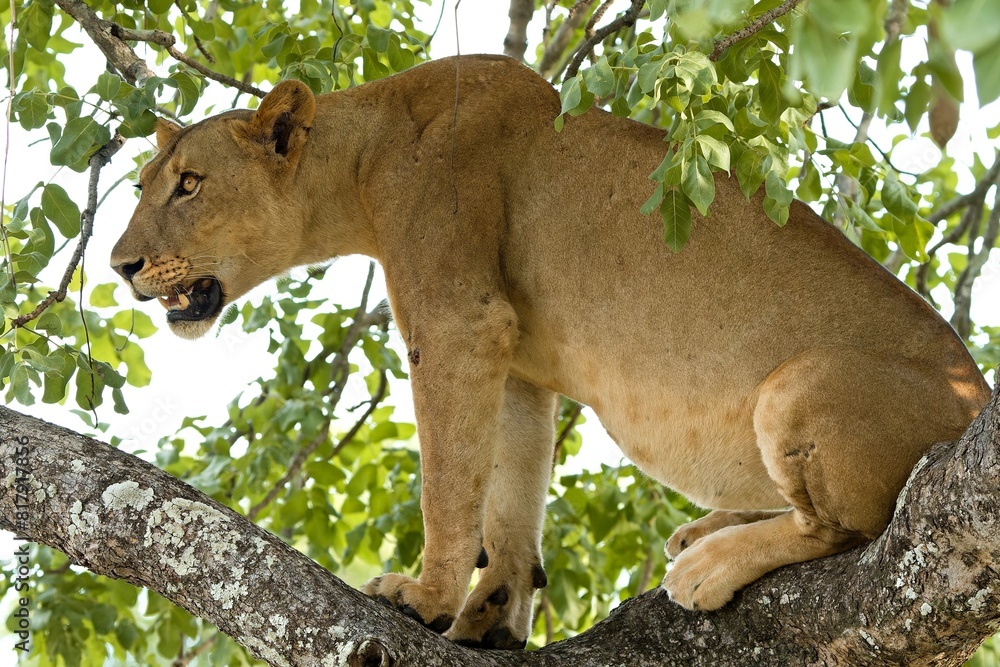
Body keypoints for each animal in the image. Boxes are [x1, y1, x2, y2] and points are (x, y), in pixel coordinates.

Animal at [110, 54, 990, 649]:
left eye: (189, 184)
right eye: (145, 184)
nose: (120, 266)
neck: (362, 160)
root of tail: (981, 394)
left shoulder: (457, 321)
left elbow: (448, 482)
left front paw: (424, 597)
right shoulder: (515, 360)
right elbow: (508, 492)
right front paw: (491, 614)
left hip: (801, 383)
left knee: (846, 526)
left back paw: (707, 565)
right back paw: (703, 532)